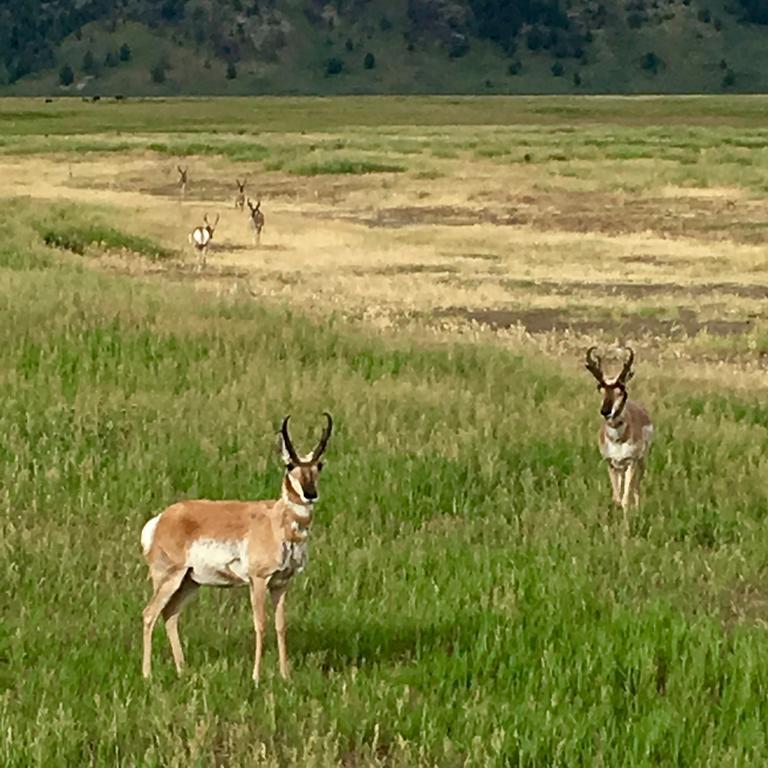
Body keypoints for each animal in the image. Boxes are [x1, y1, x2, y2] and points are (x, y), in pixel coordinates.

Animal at [141, 414, 332, 684]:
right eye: (289, 465)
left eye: (319, 465)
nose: (310, 494)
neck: (276, 521)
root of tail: (161, 519)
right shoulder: (258, 580)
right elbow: (260, 623)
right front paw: (256, 677)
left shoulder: (282, 583)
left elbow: (281, 626)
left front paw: (285, 676)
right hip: (168, 578)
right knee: (149, 614)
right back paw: (147, 674)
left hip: (189, 582)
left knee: (170, 614)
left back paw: (182, 670)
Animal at [584, 346, 652, 510]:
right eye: (600, 389)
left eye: (621, 390)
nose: (605, 411)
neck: (617, 440)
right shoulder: (611, 464)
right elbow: (616, 499)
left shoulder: (631, 462)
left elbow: (626, 499)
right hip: (620, 469)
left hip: (641, 462)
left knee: (636, 489)